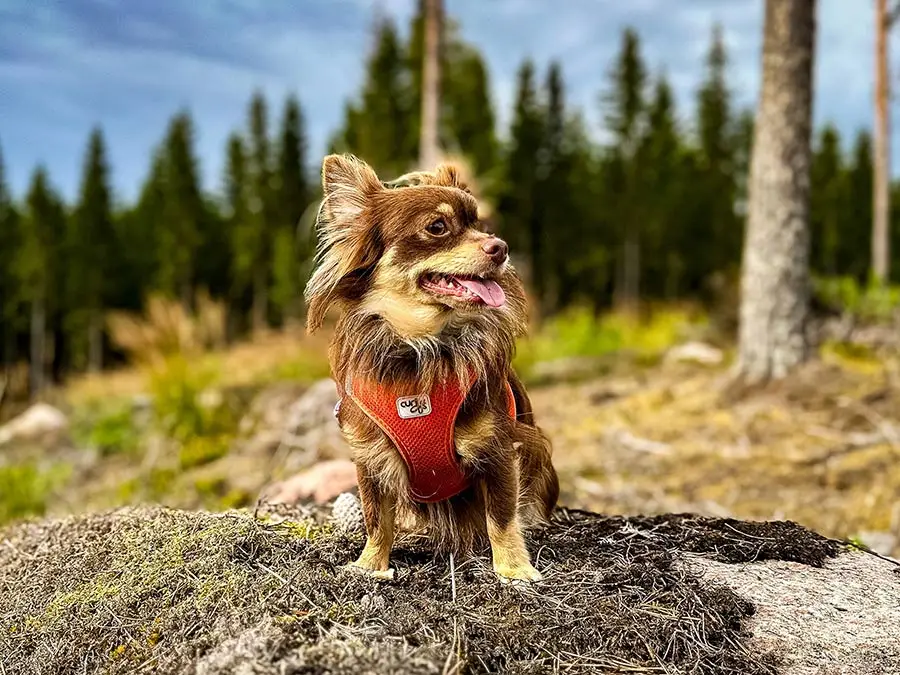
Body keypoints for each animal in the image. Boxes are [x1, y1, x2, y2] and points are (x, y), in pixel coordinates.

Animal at [306, 156, 560, 584]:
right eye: (437, 227)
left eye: (481, 226)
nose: (501, 247)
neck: (421, 346)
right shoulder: (370, 458)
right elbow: (377, 518)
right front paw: (370, 565)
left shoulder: (499, 450)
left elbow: (502, 517)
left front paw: (514, 569)